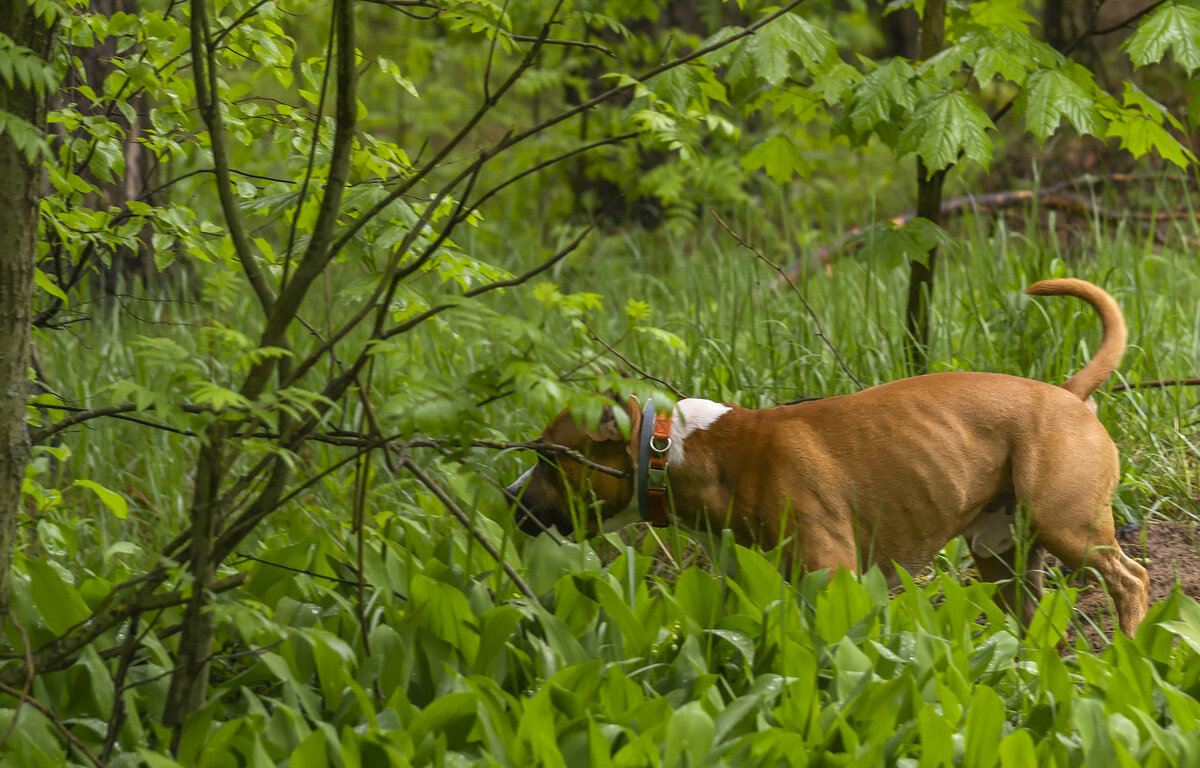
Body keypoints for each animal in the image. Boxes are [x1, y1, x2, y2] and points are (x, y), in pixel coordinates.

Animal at [508, 278, 1152, 638]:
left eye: (547, 457)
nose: (509, 496)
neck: (682, 450)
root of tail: (1065, 394)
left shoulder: (833, 578)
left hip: (1066, 525)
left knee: (1131, 579)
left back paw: (1128, 655)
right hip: (1002, 555)